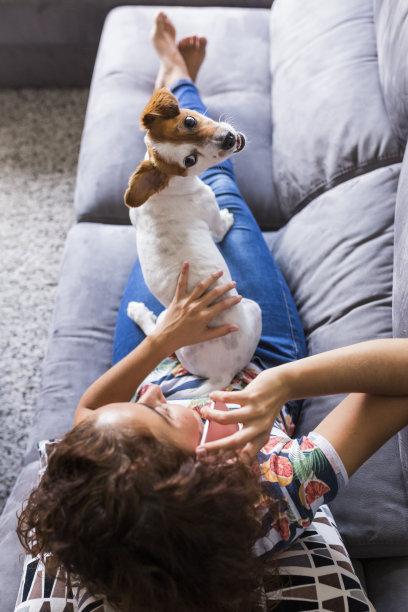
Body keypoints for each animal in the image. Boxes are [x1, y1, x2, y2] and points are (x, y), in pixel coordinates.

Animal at [124, 88, 262, 400]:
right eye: (189, 160)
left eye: (189, 121)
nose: (228, 139)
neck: (168, 189)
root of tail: (224, 375)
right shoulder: (211, 216)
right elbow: (221, 226)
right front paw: (229, 216)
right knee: (155, 336)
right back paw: (139, 313)